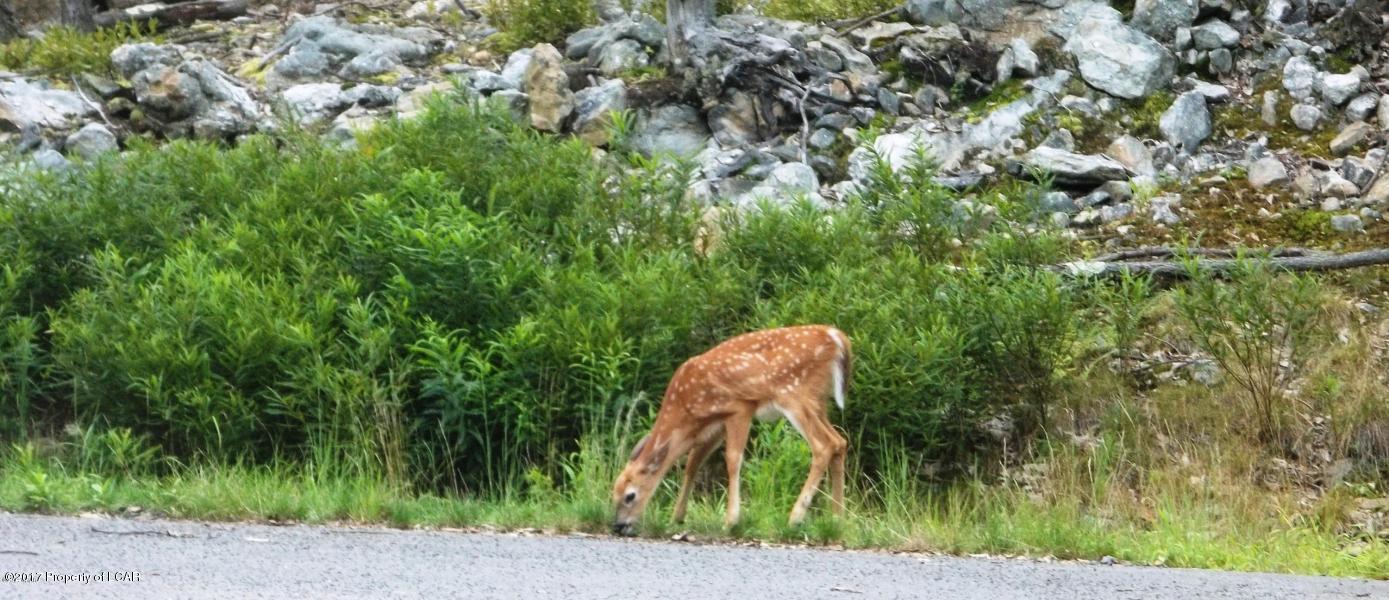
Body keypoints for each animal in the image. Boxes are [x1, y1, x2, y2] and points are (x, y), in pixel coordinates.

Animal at [613, 326, 850, 536]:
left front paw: (731, 521)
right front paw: (676, 518)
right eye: (612, 494)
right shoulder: (714, 426)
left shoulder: (739, 407)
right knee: (840, 442)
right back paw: (836, 520)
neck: (686, 406)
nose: (618, 526)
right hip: (818, 401)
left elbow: (733, 460)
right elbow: (693, 464)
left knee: (824, 444)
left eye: (630, 496)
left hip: (793, 394)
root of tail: (838, 339)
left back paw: (795, 518)